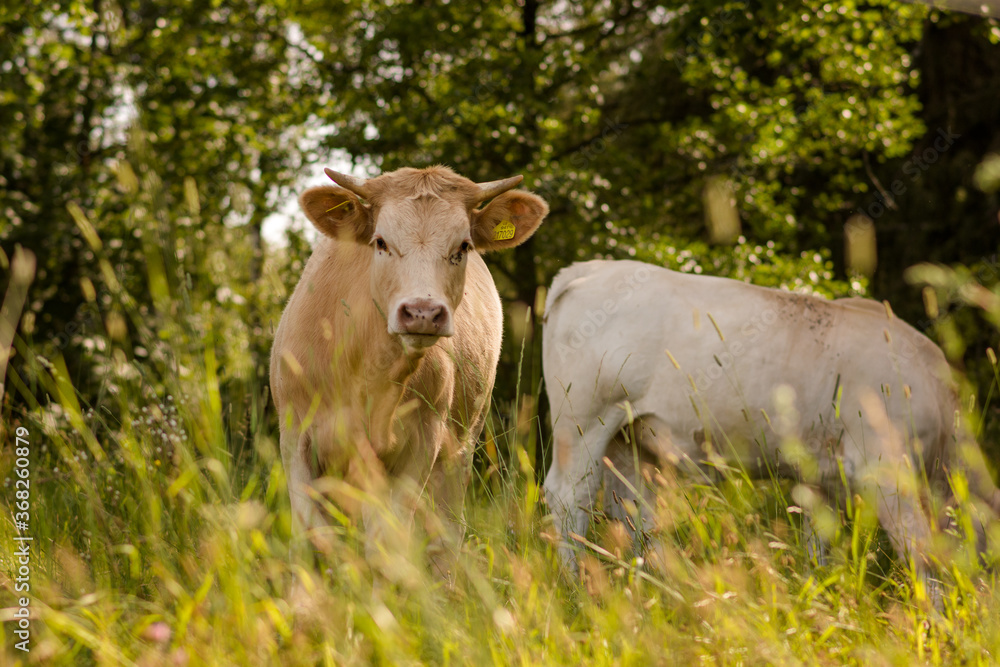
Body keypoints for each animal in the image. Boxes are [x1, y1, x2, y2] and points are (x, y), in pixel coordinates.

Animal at [274, 166, 548, 576]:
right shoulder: (296, 436)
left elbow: (386, 545)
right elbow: (311, 540)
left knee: (444, 535)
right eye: (381, 242)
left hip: (461, 446)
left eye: (462, 247)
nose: (422, 312)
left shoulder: (421, 444)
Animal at [548, 258, 1000, 580]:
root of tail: (592, 268)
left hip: (630, 437)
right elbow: (922, 557)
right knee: (569, 498)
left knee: (635, 510)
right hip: (583, 421)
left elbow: (819, 549)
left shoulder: (823, 478)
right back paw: (575, 588)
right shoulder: (884, 469)